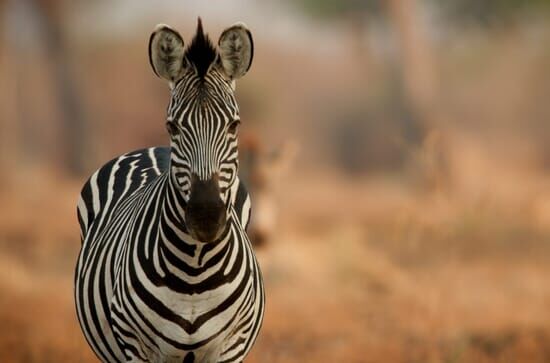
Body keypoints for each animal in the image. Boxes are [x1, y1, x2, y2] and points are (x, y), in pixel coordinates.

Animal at [75, 19, 266, 363]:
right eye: (172, 126)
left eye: (234, 125)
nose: (206, 216)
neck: (194, 272)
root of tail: (156, 149)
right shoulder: (134, 345)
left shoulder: (232, 344)